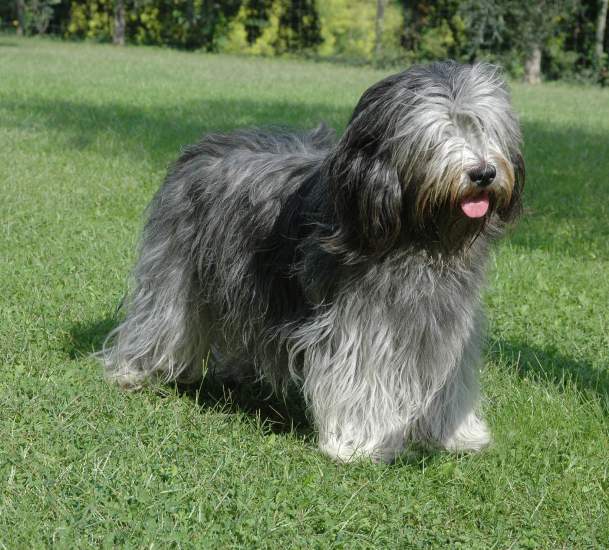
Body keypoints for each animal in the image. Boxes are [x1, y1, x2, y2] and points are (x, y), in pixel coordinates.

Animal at [102, 61, 524, 463]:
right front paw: (358, 443)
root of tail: (206, 145)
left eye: (483, 126)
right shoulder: (359, 323)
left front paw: (457, 434)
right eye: (439, 132)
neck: (416, 237)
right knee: (161, 319)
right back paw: (132, 370)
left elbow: (449, 379)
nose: (483, 173)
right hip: (176, 272)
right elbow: (361, 376)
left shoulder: (446, 323)